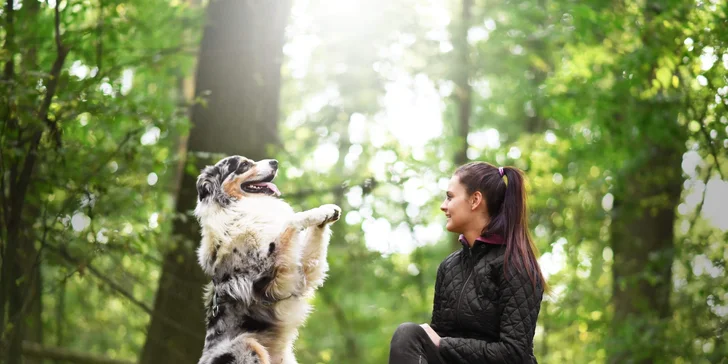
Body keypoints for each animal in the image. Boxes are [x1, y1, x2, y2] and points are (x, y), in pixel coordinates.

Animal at [193, 156, 342, 364]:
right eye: (244, 165)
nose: (275, 162)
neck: (240, 207)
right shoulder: (272, 276)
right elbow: (292, 221)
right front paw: (312, 214)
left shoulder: (302, 275)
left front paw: (326, 211)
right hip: (246, 346)